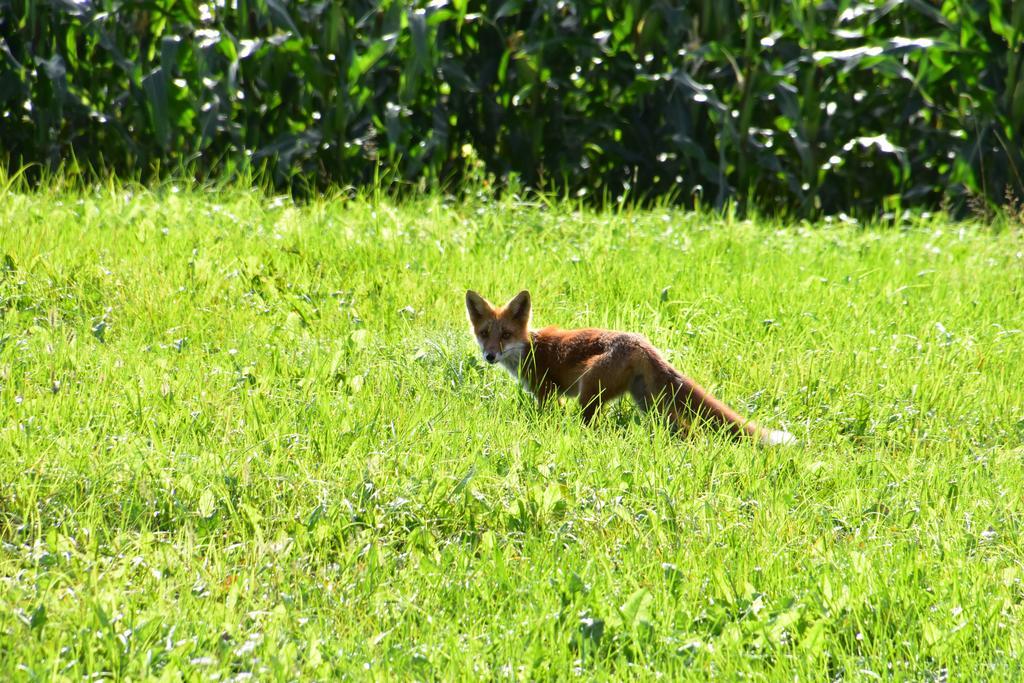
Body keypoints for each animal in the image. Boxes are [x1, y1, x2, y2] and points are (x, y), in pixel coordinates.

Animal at [468, 290, 794, 446]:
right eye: (484, 334)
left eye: (505, 335)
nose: (490, 356)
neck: (530, 348)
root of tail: (643, 343)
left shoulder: (548, 393)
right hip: (652, 405)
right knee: (688, 431)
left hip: (590, 394)